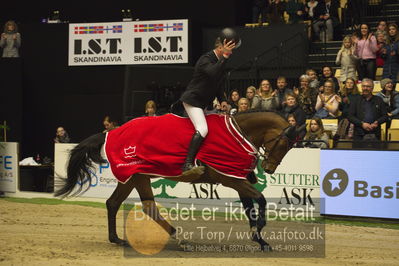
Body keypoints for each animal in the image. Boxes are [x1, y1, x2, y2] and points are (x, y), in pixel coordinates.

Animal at [54, 110, 298, 251]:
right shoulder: (231, 179)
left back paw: (116, 239)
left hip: (132, 177)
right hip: (138, 175)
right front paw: (261, 228)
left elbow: (250, 207)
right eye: (285, 144)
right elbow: (261, 198)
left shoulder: (236, 178)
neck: (238, 134)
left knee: (113, 203)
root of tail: (112, 132)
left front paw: (259, 239)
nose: (269, 168)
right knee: (148, 207)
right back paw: (180, 237)